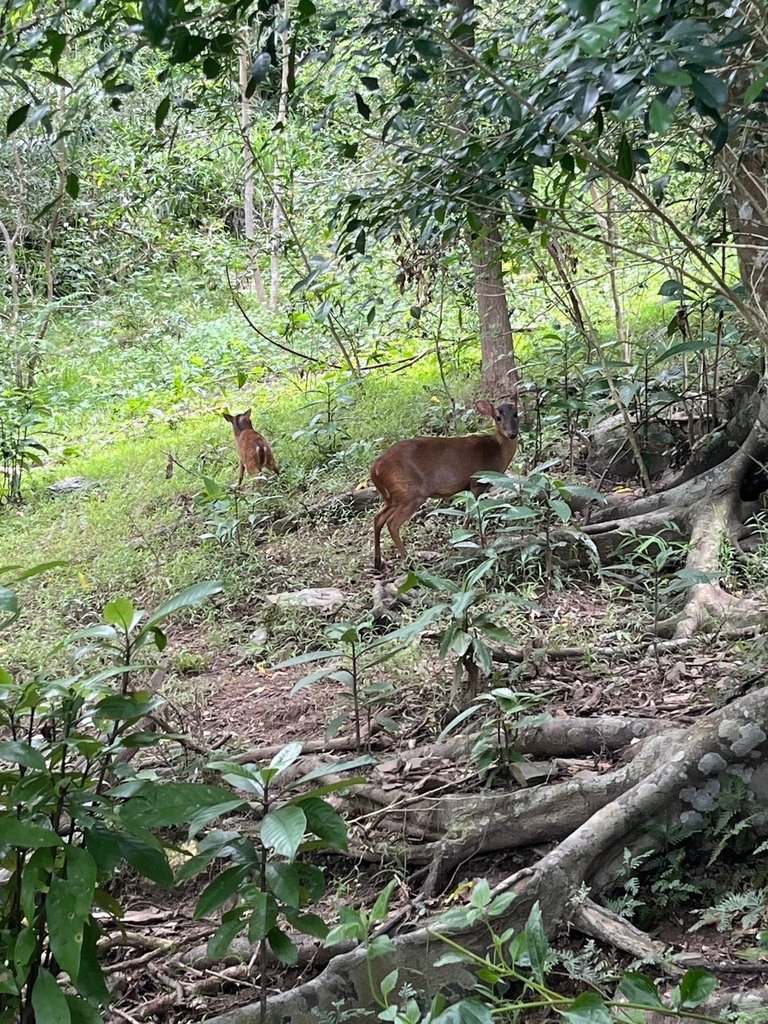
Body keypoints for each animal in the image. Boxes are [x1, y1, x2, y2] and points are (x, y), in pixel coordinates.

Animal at [370, 399, 520, 573]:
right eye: (498, 417)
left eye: (516, 413)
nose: (512, 434)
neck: (496, 452)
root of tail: (375, 469)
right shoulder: (476, 483)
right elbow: (472, 513)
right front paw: (465, 539)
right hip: (411, 493)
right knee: (392, 524)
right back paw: (411, 563)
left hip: (393, 497)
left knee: (378, 518)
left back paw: (378, 562)